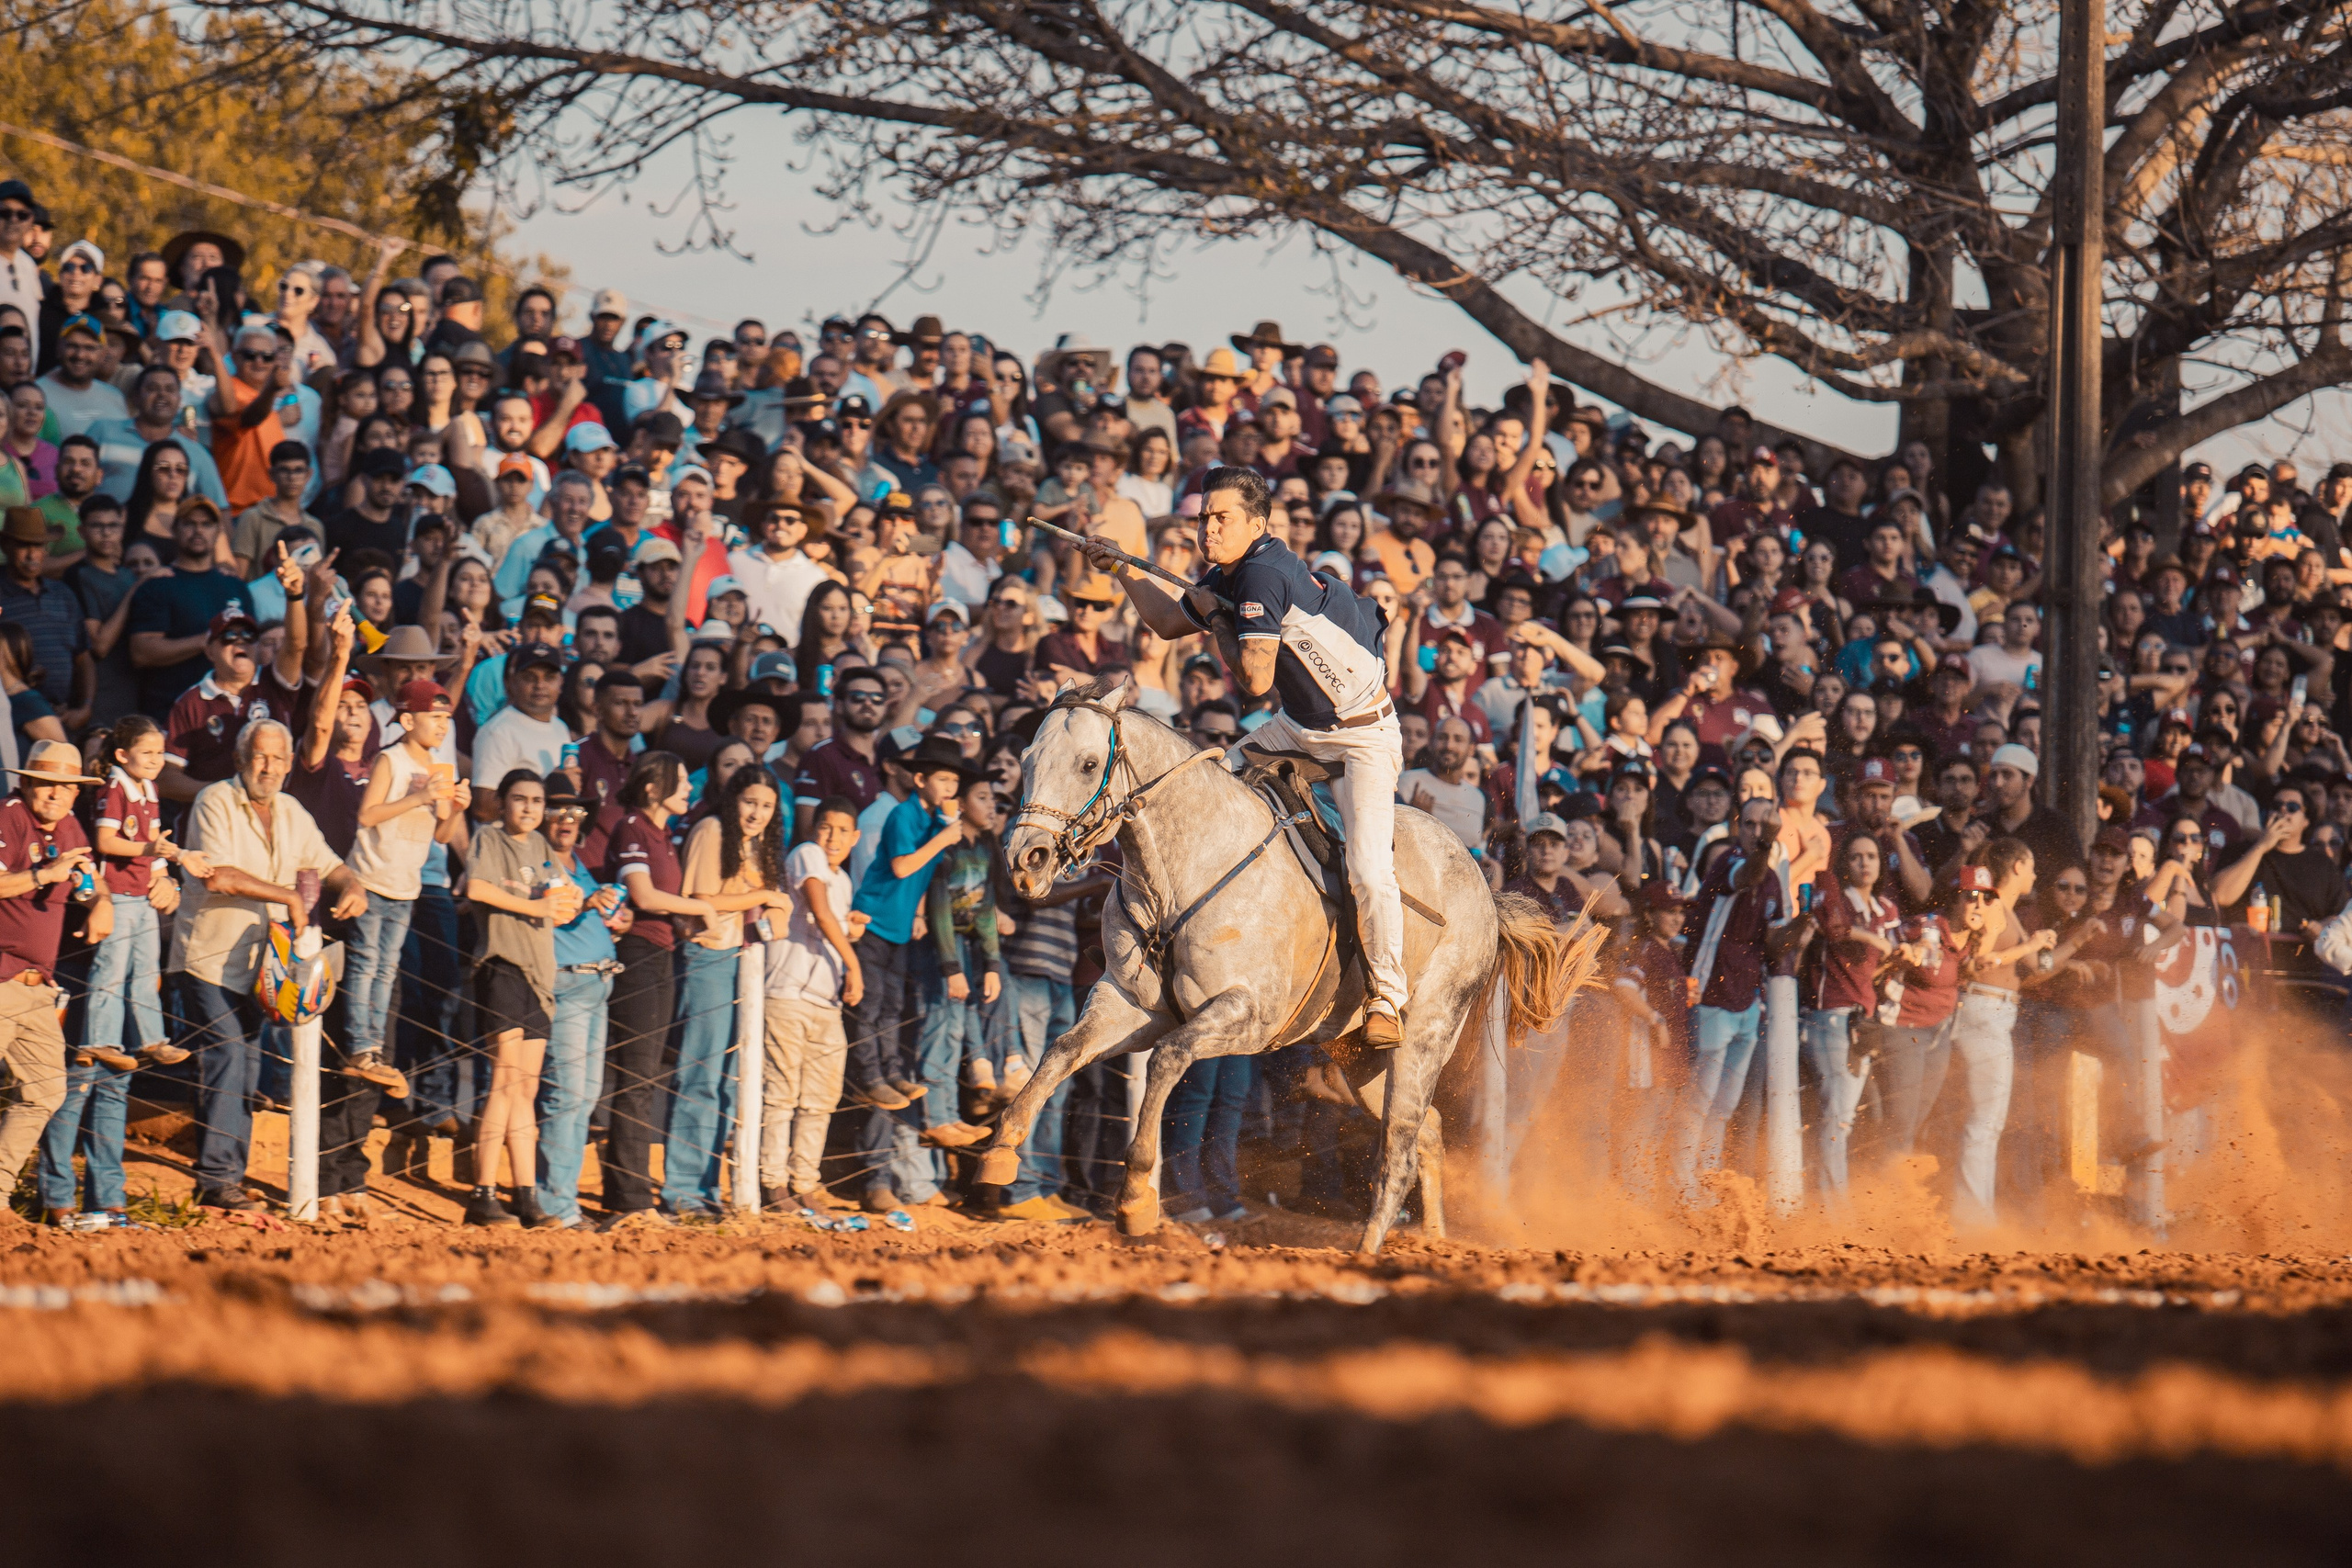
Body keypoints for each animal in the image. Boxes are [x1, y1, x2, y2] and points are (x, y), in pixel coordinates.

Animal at [975, 675, 1603, 1253]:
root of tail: (1485, 894)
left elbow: (1167, 1060)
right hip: (1362, 1063)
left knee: (1399, 1148)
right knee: (1426, 1133)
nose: (1027, 860)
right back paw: (1432, 1240)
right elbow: (1062, 1050)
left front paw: (1134, 1199)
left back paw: (1367, 1252)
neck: (1183, 872)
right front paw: (1000, 1152)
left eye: (1088, 764)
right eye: (1026, 759)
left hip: (1426, 1038)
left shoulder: (1247, 1013)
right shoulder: (1129, 1004)